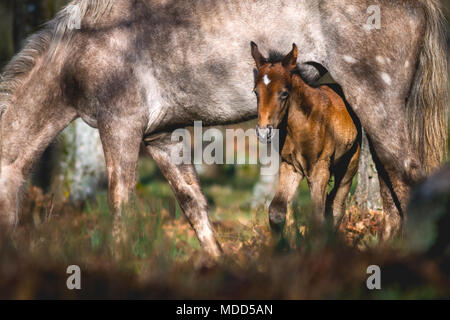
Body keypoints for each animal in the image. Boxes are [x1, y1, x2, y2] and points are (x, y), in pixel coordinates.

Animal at [251, 42, 360, 232]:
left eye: (284, 93)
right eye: (256, 92)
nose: (264, 131)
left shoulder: (319, 169)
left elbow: (318, 218)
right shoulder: (291, 166)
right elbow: (276, 211)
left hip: (349, 165)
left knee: (337, 206)